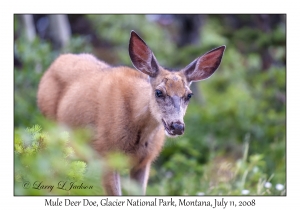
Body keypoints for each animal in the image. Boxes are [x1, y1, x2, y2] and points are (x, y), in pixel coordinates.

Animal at [37, 30, 225, 195]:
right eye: (159, 92)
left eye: (189, 95)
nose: (177, 126)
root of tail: (55, 62)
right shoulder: (106, 156)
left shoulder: (143, 163)